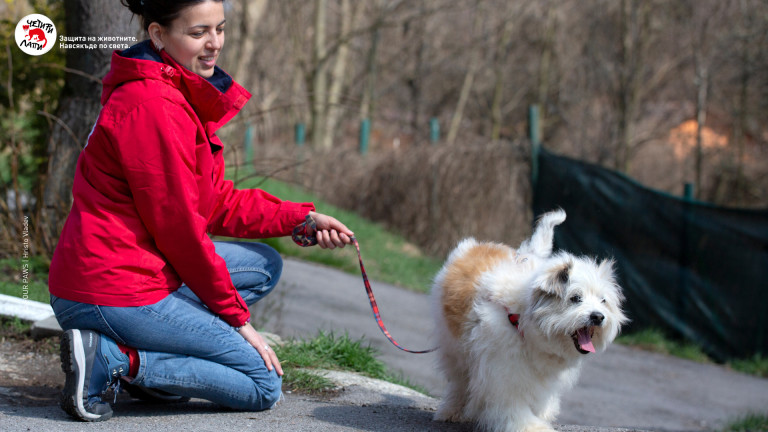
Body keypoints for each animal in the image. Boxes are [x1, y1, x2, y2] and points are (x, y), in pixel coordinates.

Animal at [428, 208, 628, 430]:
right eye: (576, 298)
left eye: (603, 301)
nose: (598, 316)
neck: (521, 318)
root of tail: (474, 246)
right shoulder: (503, 372)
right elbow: (511, 406)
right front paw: (532, 427)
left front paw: (543, 414)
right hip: (454, 348)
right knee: (459, 381)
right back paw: (452, 411)